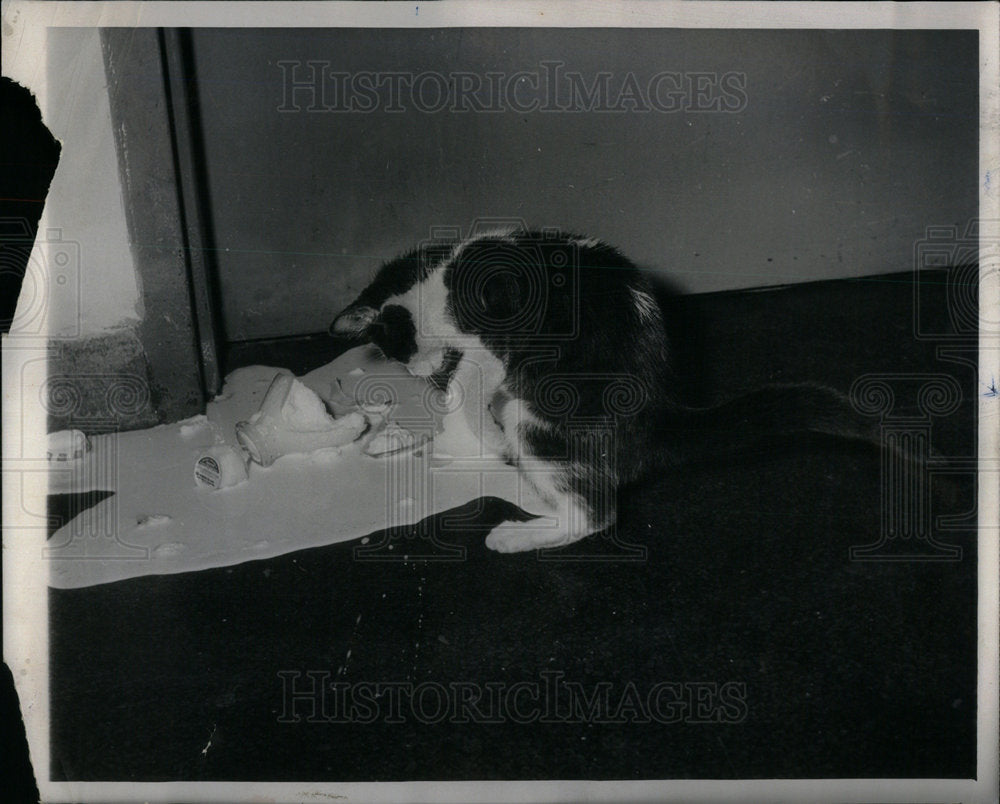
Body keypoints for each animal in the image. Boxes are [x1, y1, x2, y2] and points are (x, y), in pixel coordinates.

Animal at [330, 226, 876, 552]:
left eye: (393, 349)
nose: (418, 373)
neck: (439, 274)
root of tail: (654, 423)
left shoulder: (495, 332)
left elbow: (472, 374)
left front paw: (458, 416)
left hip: (538, 418)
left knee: (594, 513)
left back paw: (518, 534)